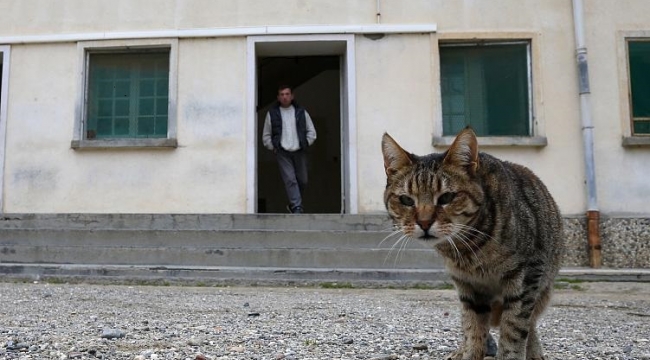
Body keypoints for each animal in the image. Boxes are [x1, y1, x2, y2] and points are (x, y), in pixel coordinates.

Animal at [380, 127, 560, 360]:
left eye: (446, 197)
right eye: (406, 200)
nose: (424, 222)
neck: (470, 248)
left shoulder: (526, 276)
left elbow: (514, 328)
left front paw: (511, 353)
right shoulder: (467, 286)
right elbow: (473, 329)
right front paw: (469, 351)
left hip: (543, 289)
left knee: (530, 323)